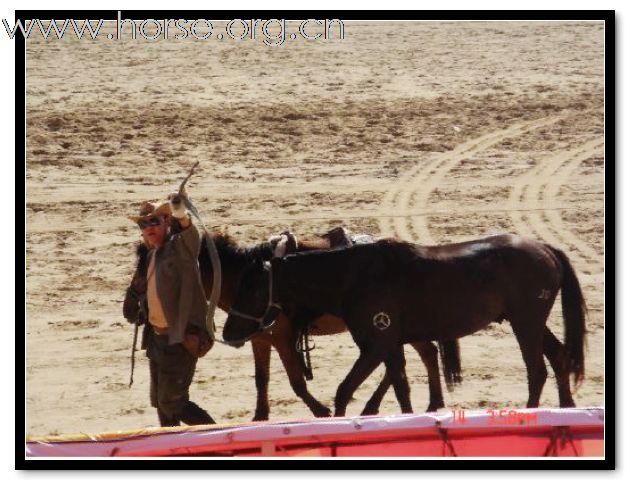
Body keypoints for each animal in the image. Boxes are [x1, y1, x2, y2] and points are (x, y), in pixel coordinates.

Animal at [123, 228, 462, 420]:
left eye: (143, 271)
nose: (128, 308)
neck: (247, 278)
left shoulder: (283, 337)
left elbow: (296, 381)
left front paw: (321, 411)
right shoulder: (260, 339)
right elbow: (262, 380)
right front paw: (260, 417)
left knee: (419, 354)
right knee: (423, 353)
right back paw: (425, 403)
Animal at [223, 234, 588, 418]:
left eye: (251, 288)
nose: (228, 333)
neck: (352, 276)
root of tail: (545, 248)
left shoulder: (376, 345)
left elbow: (344, 391)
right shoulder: (389, 347)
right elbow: (401, 388)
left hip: (525, 323)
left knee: (537, 370)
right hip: (532, 323)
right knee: (558, 358)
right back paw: (567, 408)